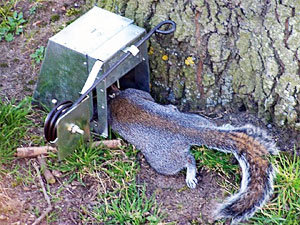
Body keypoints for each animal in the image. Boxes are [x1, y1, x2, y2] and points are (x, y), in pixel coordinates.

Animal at [108, 87, 278, 223]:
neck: (117, 99)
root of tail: (188, 130)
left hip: (164, 161)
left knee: (188, 159)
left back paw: (190, 175)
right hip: (198, 119)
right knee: (211, 126)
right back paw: (225, 126)